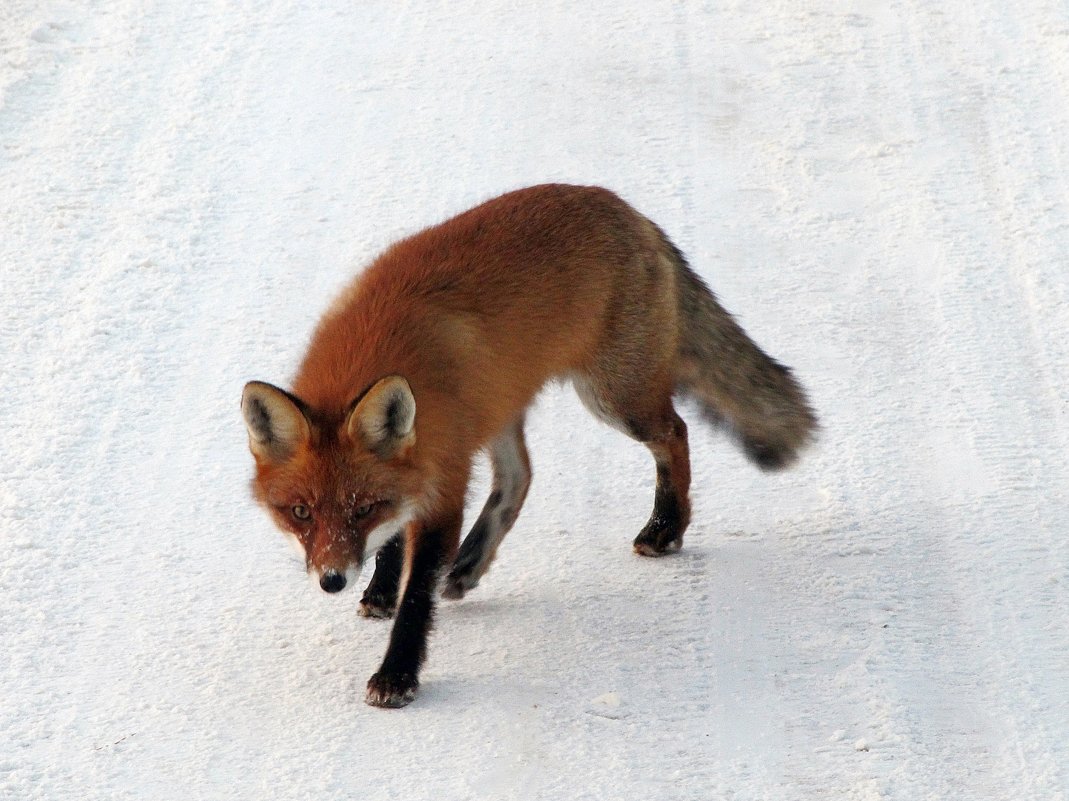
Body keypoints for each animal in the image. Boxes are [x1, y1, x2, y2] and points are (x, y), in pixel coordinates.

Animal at [242, 182, 812, 705]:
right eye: (301, 512)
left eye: (361, 510)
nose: (332, 580)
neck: (374, 353)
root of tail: (626, 208)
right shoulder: (419, 468)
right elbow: (397, 539)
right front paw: (382, 587)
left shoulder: (444, 480)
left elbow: (417, 595)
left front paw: (397, 675)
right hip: (504, 408)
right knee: (520, 477)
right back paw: (470, 563)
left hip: (614, 398)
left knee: (675, 433)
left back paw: (664, 529)